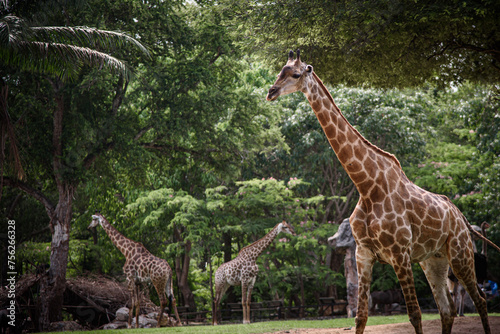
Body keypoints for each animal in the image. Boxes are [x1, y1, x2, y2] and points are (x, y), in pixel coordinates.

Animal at [266, 49, 500, 334]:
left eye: (296, 74)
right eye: (280, 71)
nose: (271, 92)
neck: (367, 187)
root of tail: (461, 216)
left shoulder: (400, 254)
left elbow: (415, 314)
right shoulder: (363, 254)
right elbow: (361, 316)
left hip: (460, 254)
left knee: (479, 300)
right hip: (433, 260)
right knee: (447, 309)